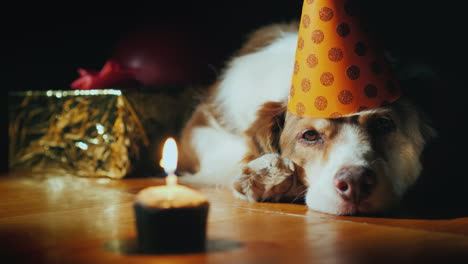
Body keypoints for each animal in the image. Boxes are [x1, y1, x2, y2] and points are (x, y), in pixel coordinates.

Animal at [176, 23, 436, 216]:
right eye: (310, 135)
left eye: (383, 124)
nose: (355, 183)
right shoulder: (199, 126)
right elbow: (237, 149)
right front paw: (265, 172)